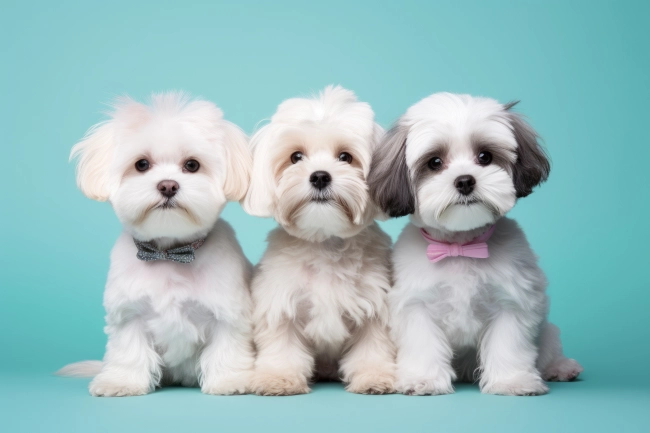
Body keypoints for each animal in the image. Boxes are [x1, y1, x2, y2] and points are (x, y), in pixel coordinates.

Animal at [57, 93, 256, 396]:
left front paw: (229, 380)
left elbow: (227, 347)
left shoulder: (227, 312)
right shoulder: (129, 313)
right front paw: (121, 381)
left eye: (192, 165)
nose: (168, 186)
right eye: (142, 164)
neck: (167, 253)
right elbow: (129, 351)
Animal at [240, 85, 394, 394]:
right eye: (296, 157)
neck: (325, 243)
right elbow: (282, 346)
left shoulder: (375, 304)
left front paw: (374, 375)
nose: (320, 176)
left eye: (345, 157)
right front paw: (278, 377)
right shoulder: (280, 303)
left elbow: (373, 345)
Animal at [368, 92, 584, 394]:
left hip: (547, 331)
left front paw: (512, 380)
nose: (464, 181)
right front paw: (423, 379)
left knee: (548, 348)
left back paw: (561, 367)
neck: (460, 247)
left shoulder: (511, 303)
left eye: (485, 156)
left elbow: (508, 345)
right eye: (434, 162)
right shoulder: (416, 305)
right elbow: (423, 343)